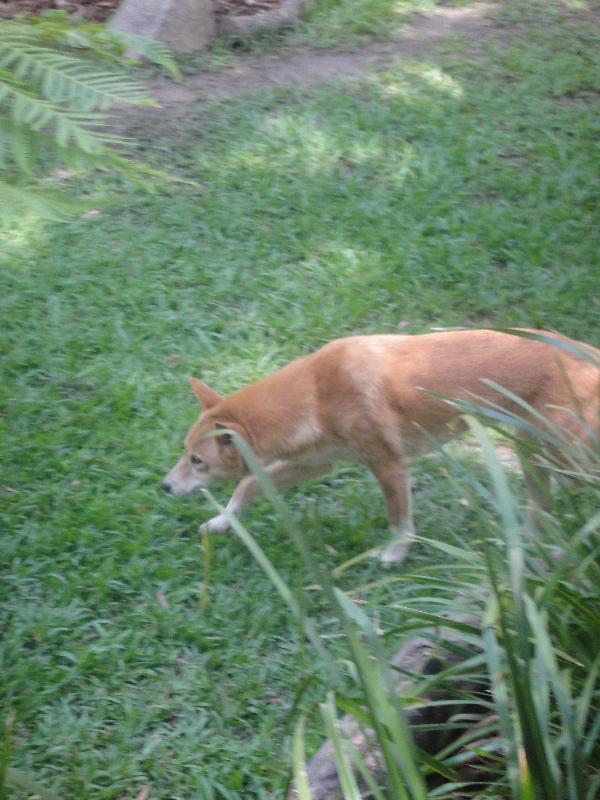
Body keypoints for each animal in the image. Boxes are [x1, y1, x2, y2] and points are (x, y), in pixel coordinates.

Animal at [162, 326, 596, 564]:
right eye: (184, 452)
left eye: (197, 461)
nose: (164, 486)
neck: (315, 394)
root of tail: (588, 353)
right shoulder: (315, 463)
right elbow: (249, 484)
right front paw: (222, 522)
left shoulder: (387, 464)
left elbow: (398, 519)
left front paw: (395, 554)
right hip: (534, 456)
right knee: (542, 509)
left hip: (567, 459)